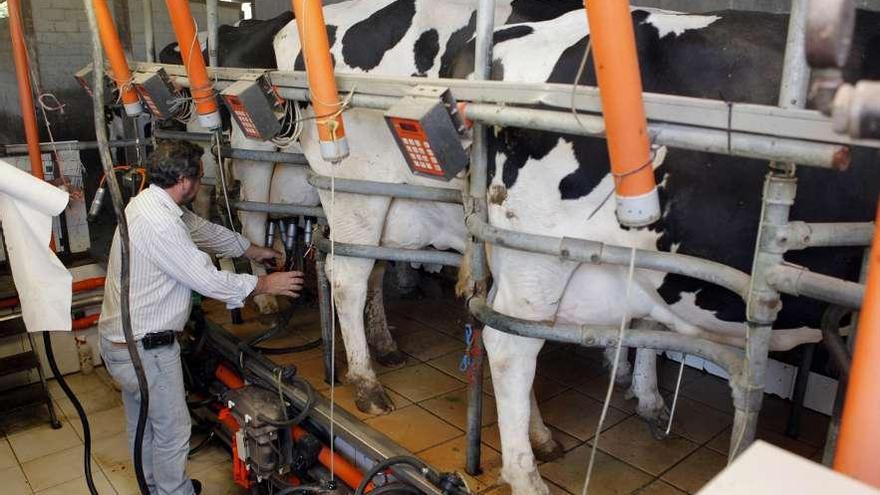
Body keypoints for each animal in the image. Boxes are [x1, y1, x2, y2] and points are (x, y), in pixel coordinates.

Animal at [276, 1, 880, 494]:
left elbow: (649, 328)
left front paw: (648, 398)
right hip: (382, 200)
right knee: (368, 286)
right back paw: (374, 387)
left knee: (404, 284)